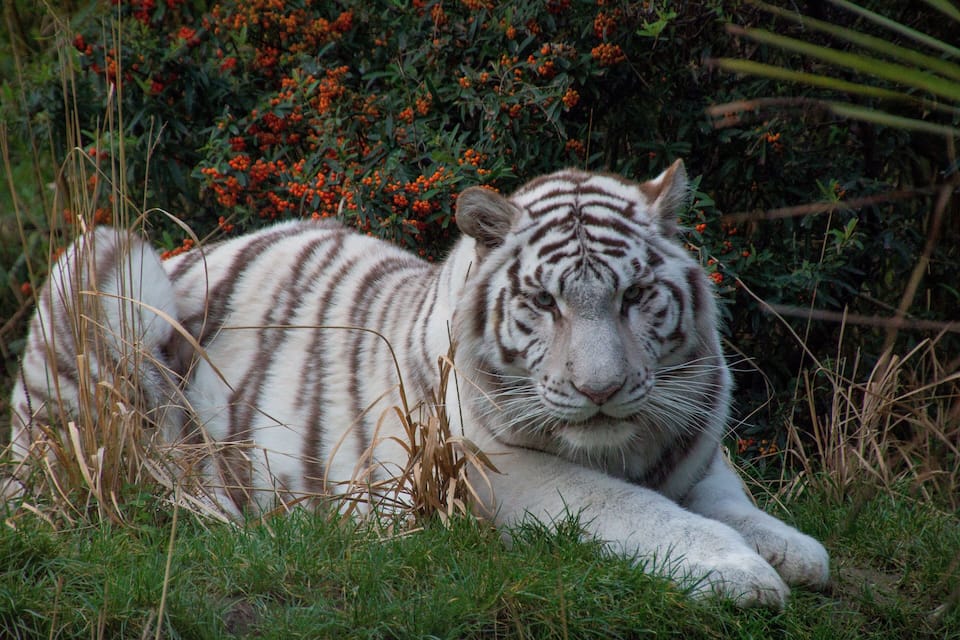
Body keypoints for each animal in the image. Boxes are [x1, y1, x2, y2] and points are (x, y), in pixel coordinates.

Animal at [8, 160, 829, 607]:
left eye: (633, 297)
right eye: (544, 303)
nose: (600, 390)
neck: (623, 446)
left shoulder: (699, 453)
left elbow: (735, 504)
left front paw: (795, 551)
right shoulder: (504, 474)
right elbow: (641, 512)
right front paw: (743, 573)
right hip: (112, 259)